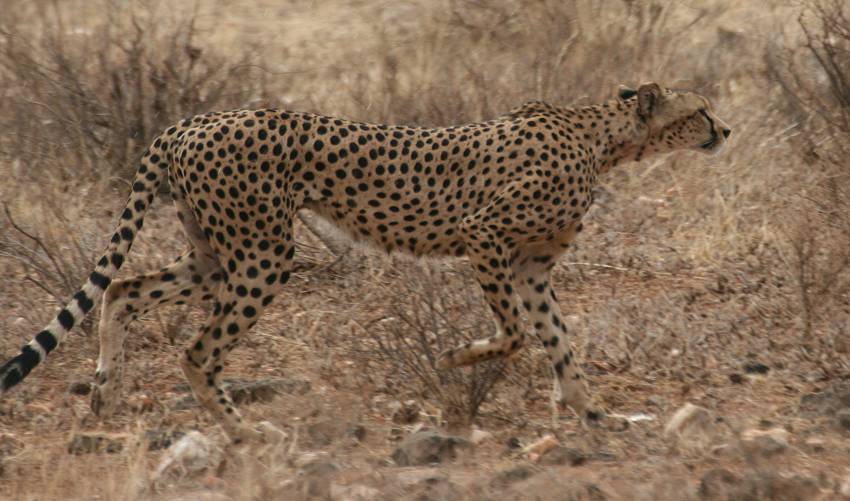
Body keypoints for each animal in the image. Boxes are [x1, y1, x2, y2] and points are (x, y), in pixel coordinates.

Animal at [0, 84, 728, 440]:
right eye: (701, 110)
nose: (725, 130)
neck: (605, 137)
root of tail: (190, 121)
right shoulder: (486, 235)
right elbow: (517, 333)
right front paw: (459, 358)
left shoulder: (531, 267)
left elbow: (558, 342)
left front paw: (595, 416)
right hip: (265, 254)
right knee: (197, 351)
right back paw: (245, 431)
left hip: (216, 254)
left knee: (121, 289)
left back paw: (105, 392)